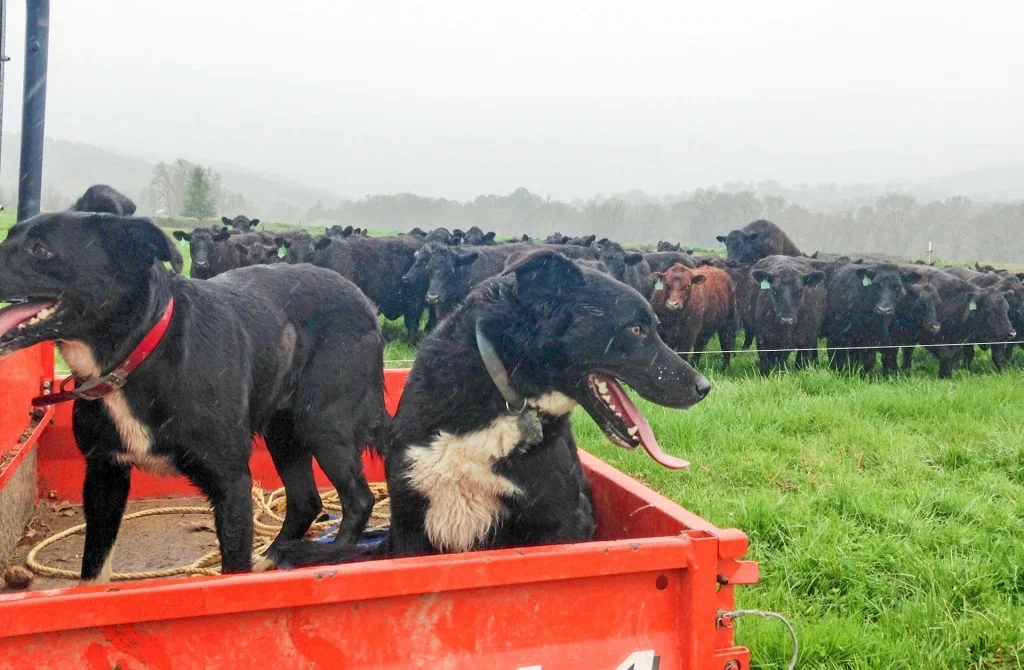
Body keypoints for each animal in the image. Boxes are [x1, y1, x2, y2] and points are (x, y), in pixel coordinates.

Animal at [0, 206, 387, 581]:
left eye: (40, 250)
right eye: (9, 235)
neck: (141, 353)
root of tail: (366, 303)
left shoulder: (231, 482)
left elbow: (233, 574)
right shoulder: (104, 474)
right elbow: (93, 573)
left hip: (323, 423)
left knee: (358, 500)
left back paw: (333, 555)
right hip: (283, 430)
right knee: (307, 501)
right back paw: (272, 558)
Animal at [280, 250, 712, 565]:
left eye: (653, 326)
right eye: (637, 329)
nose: (703, 387)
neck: (504, 396)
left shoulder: (561, 524)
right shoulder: (407, 529)